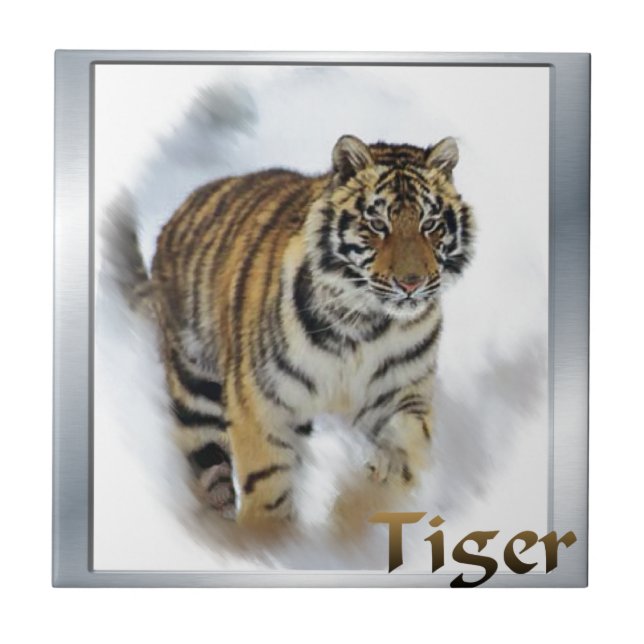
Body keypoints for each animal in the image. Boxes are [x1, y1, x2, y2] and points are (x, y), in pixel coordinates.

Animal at [109, 134, 474, 527]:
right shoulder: (263, 403)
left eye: (431, 224)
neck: (365, 325)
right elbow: (267, 481)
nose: (411, 283)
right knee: (210, 475)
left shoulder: (404, 393)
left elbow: (406, 448)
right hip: (196, 390)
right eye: (377, 224)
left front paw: (365, 499)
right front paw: (269, 532)